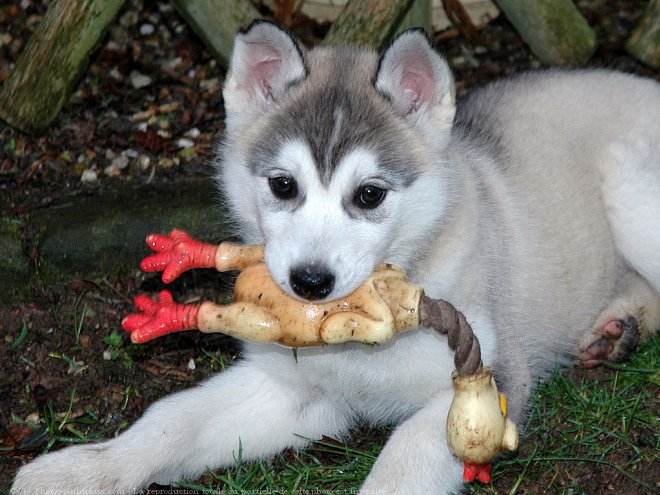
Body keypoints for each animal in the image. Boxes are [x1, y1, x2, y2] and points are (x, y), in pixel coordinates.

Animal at [10, 21, 660, 494]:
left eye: (369, 195)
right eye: (282, 185)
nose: (310, 282)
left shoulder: (490, 381)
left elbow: (403, 462)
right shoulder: (292, 388)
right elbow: (171, 421)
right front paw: (83, 469)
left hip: (631, 197)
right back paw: (616, 329)